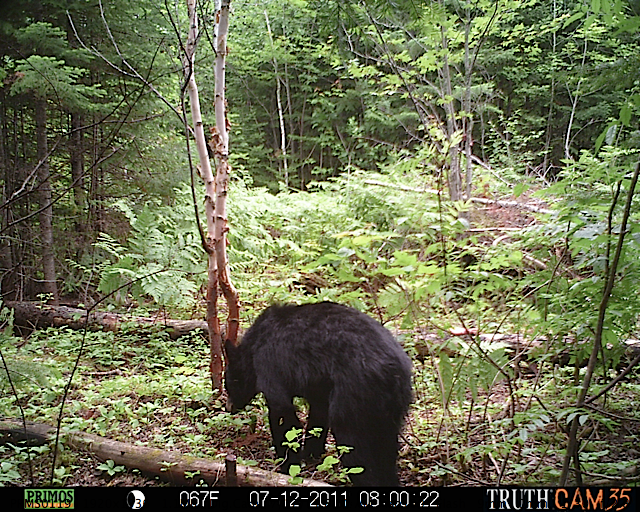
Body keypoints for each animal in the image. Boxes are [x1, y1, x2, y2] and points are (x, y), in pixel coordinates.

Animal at [225, 302, 412, 486]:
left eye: (229, 383)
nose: (229, 407)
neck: (254, 345)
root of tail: (394, 370)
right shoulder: (320, 387)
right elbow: (318, 415)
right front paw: (311, 454)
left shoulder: (269, 363)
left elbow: (283, 414)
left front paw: (287, 465)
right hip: (390, 408)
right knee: (386, 447)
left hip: (356, 393)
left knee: (354, 444)